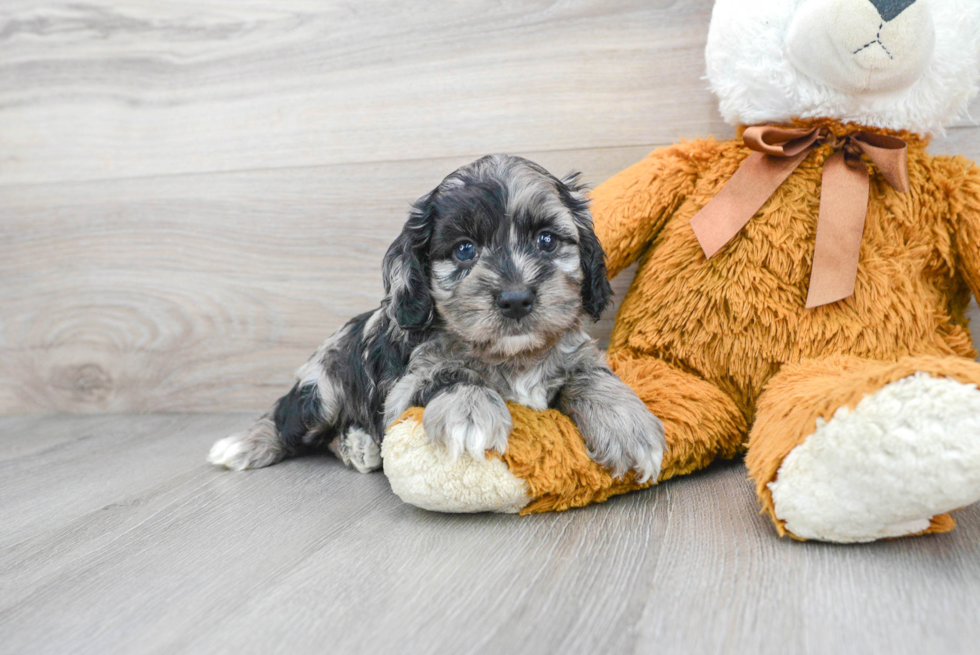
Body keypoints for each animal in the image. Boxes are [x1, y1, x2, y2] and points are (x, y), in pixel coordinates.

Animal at [207, 154, 668, 482]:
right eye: (464, 249)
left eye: (547, 240)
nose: (516, 299)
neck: (510, 356)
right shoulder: (404, 393)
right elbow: (452, 374)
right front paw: (471, 413)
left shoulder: (576, 357)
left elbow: (591, 377)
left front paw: (627, 427)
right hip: (323, 389)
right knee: (286, 418)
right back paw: (244, 445)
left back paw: (357, 446)